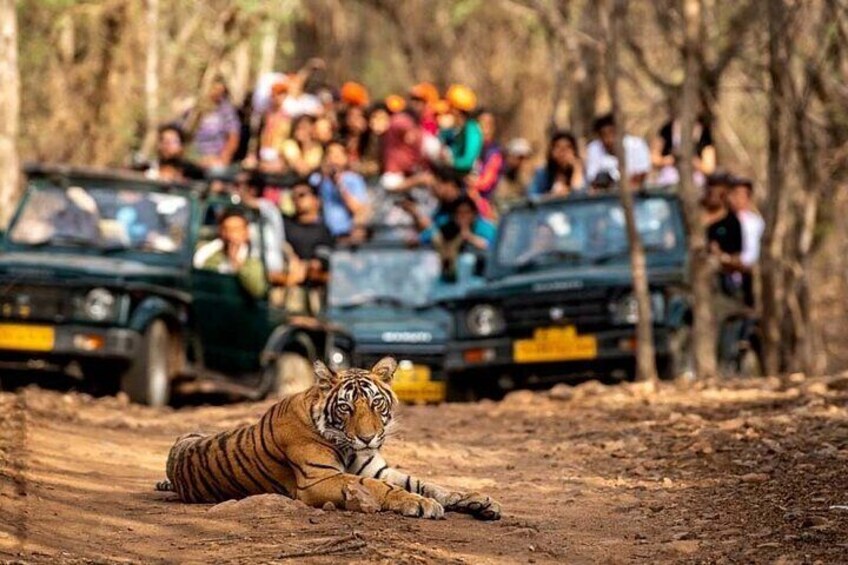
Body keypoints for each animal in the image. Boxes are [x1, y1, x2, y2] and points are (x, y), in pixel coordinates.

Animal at [155, 356, 501, 520]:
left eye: (376, 403)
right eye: (346, 407)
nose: (368, 438)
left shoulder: (378, 468)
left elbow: (429, 483)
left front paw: (480, 500)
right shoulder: (319, 479)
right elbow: (379, 487)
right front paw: (420, 504)